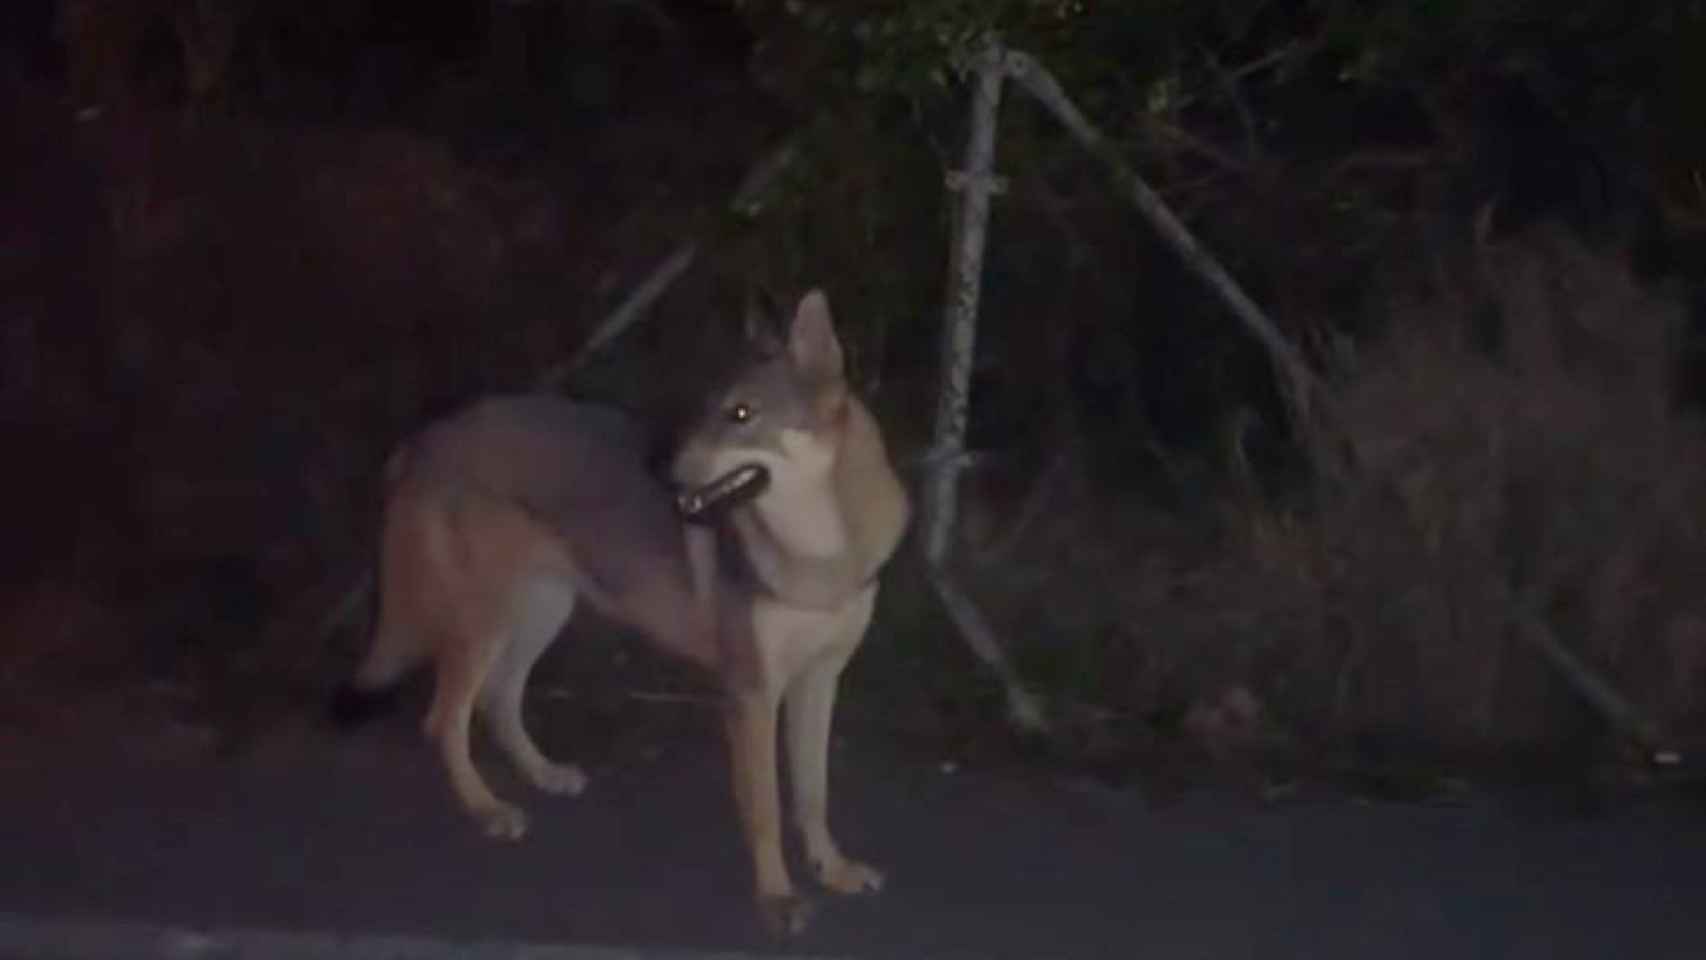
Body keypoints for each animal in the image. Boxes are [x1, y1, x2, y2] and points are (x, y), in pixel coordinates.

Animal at [337, 289, 914, 934]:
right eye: (707, 408)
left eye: (740, 414)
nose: (656, 465)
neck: (817, 553)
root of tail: (422, 440)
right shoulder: (751, 695)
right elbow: (765, 808)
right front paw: (777, 899)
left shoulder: (819, 680)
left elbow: (813, 796)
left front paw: (832, 870)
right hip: (486, 623)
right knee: (444, 719)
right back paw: (487, 809)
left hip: (541, 610)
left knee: (499, 699)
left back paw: (544, 774)